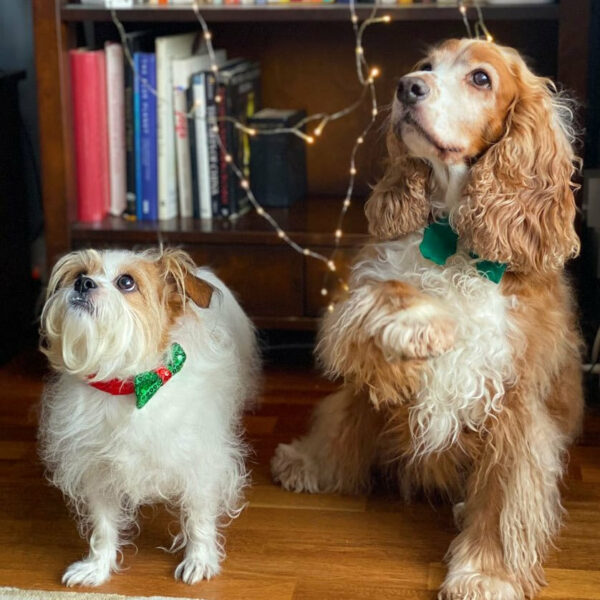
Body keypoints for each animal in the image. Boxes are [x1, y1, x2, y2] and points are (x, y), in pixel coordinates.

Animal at [37, 247, 258, 584]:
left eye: (126, 282)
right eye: (80, 274)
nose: (83, 283)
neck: (126, 386)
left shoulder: (201, 464)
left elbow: (198, 516)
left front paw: (199, 559)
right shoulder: (96, 470)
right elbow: (103, 525)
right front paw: (97, 566)